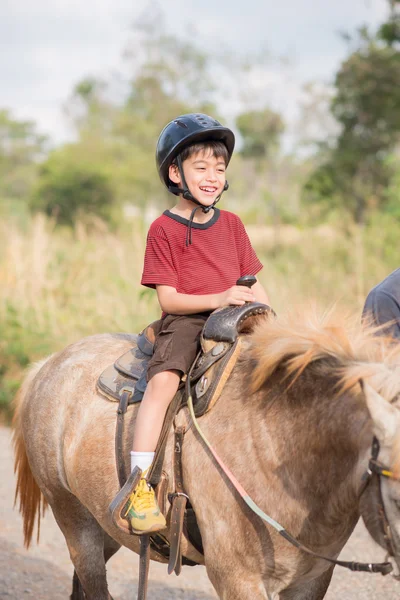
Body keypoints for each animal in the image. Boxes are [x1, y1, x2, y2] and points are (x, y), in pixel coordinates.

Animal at [11, 310, 400, 600]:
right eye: (395, 497)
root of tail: (49, 363)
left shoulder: (312, 580)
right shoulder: (239, 579)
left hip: (106, 525)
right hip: (75, 521)